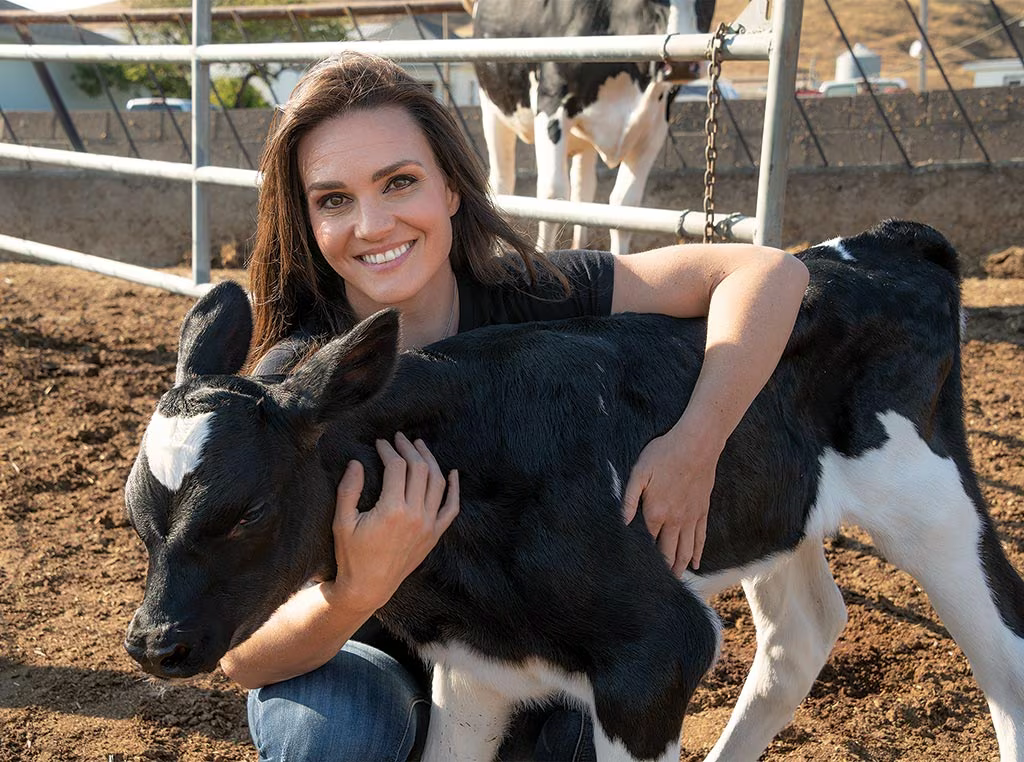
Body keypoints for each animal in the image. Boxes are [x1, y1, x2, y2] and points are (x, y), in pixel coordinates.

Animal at [121, 220, 1024, 762]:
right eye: (135, 518)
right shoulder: (475, 667)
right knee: (801, 633)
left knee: (1005, 652)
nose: (154, 644)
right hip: (778, 515)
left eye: (248, 510)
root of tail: (881, 245)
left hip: (932, 500)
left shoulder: (656, 654)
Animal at [468, 0, 716, 252]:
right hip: (493, 107)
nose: (682, 66)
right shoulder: (550, 104)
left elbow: (625, 206)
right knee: (502, 182)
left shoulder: (655, 125)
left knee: (583, 189)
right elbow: (552, 197)